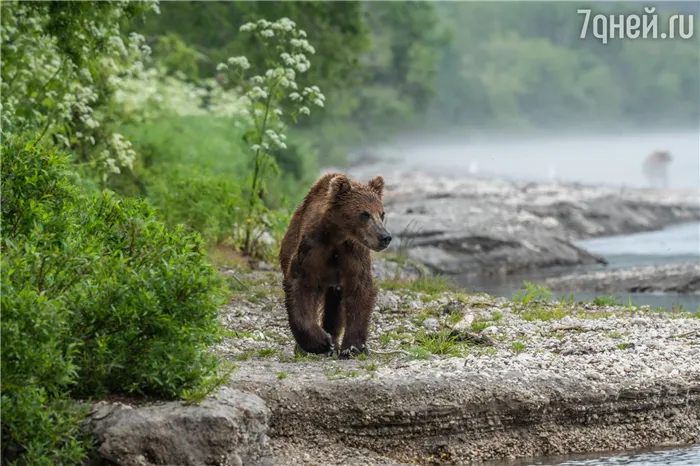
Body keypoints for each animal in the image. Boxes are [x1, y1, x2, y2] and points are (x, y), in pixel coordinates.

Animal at [278, 171, 392, 356]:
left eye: (382, 214)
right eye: (364, 214)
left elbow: (360, 290)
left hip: (335, 284)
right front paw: (319, 342)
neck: (336, 236)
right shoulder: (311, 250)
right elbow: (300, 286)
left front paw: (353, 346)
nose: (385, 237)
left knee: (334, 306)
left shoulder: (354, 255)